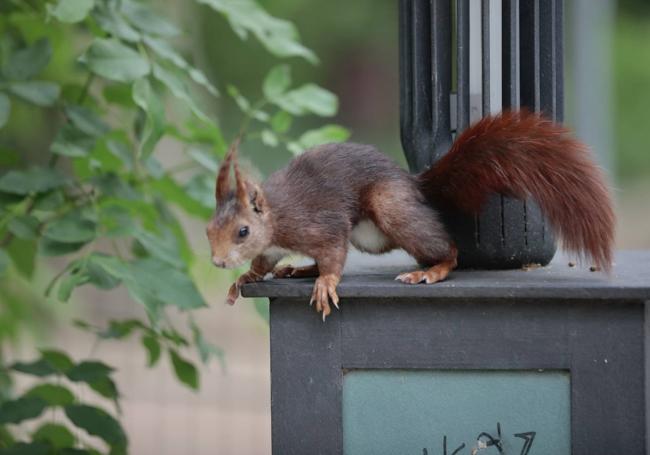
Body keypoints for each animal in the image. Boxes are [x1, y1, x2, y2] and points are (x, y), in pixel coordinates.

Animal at [206, 110, 612, 320]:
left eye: (242, 231)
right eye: (209, 230)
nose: (217, 262)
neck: (275, 218)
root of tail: (413, 184)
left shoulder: (320, 224)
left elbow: (333, 254)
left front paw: (326, 284)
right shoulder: (271, 247)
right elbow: (262, 264)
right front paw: (244, 278)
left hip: (390, 207)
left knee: (449, 249)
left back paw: (430, 270)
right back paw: (300, 269)